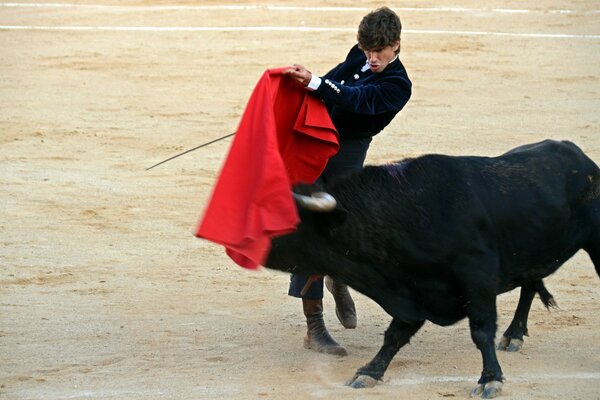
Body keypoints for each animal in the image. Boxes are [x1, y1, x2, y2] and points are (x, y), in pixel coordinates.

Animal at [264, 140, 600, 396]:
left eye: (289, 220)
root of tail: (581, 158)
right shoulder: (413, 291)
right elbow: (395, 334)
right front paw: (370, 372)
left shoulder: (477, 281)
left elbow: (481, 331)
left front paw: (490, 380)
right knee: (530, 284)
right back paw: (514, 335)